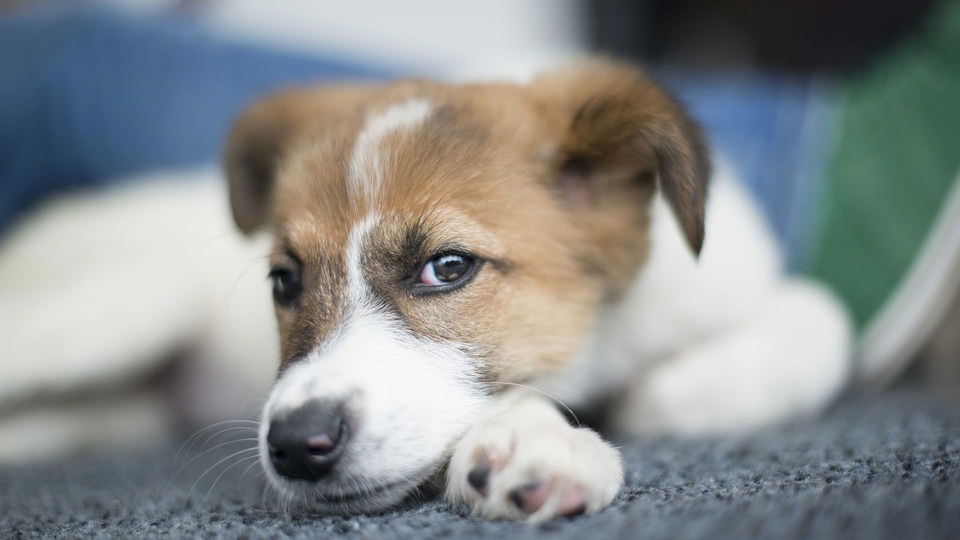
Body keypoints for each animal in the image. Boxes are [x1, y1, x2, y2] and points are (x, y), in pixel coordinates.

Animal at [223, 60, 848, 524]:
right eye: (285, 280)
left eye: (447, 267)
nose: (295, 444)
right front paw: (531, 436)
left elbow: (822, 316)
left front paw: (643, 399)